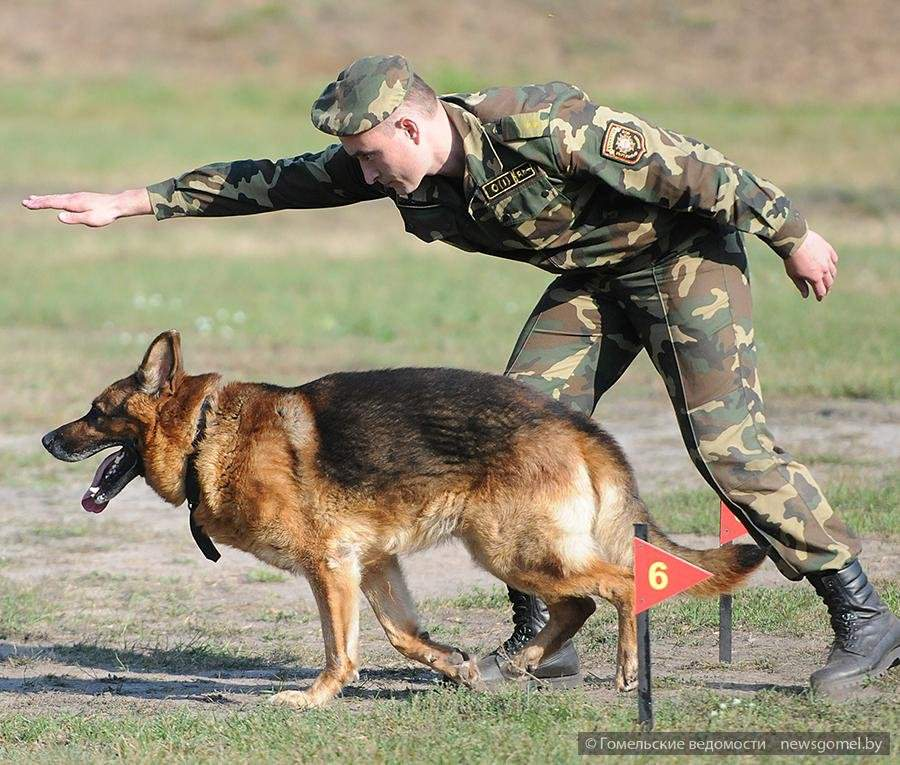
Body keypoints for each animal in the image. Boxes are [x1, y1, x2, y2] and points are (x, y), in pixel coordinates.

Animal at [44, 332, 768, 708]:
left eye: (96, 410)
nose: (48, 439)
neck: (203, 432)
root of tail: (570, 422)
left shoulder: (330, 567)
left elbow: (342, 648)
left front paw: (314, 696)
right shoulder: (372, 563)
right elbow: (402, 635)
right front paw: (455, 666)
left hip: (511, 549)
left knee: (617, 585)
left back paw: (620, 666)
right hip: (517, 551)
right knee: (578, 604)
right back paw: (521, 661)